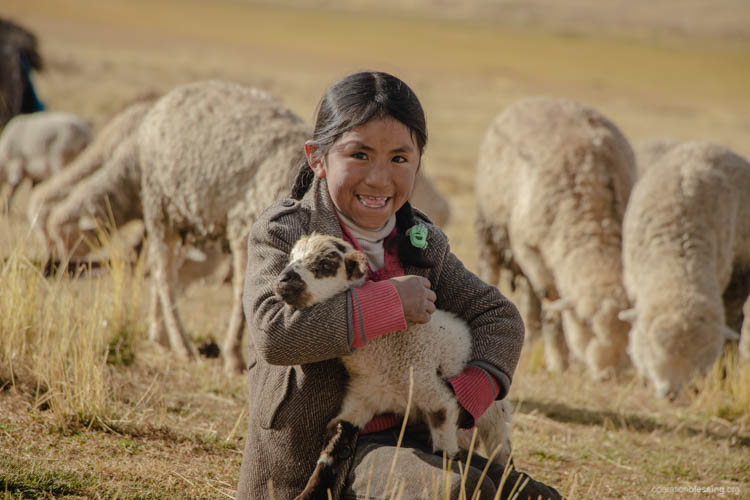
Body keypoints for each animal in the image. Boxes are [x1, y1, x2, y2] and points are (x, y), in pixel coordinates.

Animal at [274, 233, 513, 500]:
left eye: (326, 264)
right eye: (291, 258)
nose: (283, 280)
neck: (384, 354)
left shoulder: (436, 395)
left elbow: (444, 449)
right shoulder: (361, 399)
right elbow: (333, 441)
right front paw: (307, 493)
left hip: (495, 411)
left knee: (501, 447)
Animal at [475, 96, 636, 380]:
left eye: (628, 329)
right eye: (587, 324)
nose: (609, 374)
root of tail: (532, 99)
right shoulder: (528, 248)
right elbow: (551, 304)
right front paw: (558, 361)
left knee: (528, 295)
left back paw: (531, 339)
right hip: (490, 226)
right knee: (492, 271)